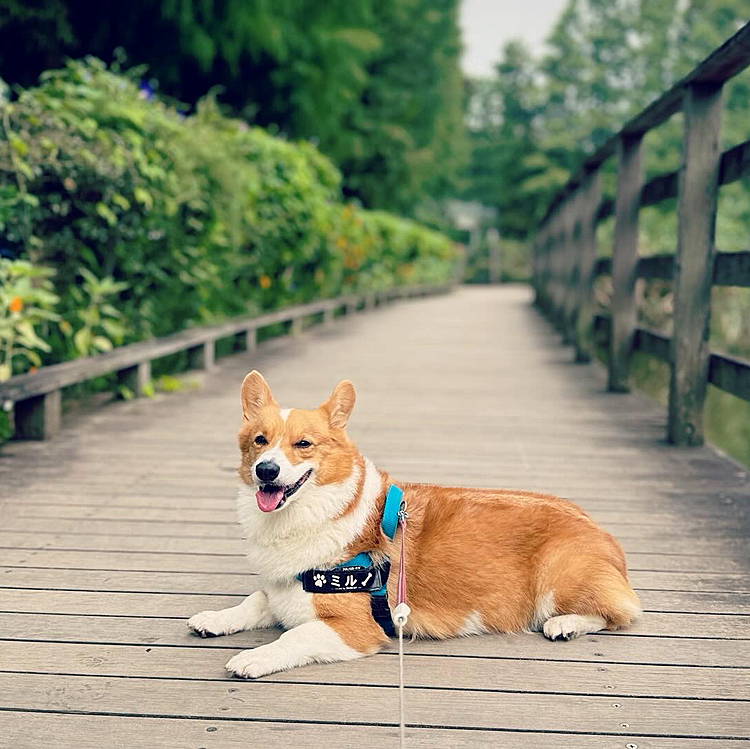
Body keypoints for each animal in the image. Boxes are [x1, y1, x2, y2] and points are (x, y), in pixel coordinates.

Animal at [188, 370, 640, 676]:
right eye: (260, 441)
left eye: (303, 444)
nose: (266, 470)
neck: (309, 513)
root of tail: (604, 533)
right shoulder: (280, 590)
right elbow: (254, 601)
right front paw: (215, 619)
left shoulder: (355, 628)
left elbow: (292, 635)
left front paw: (253, 657)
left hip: (556, 579)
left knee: (621, 611)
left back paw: (566, 624)